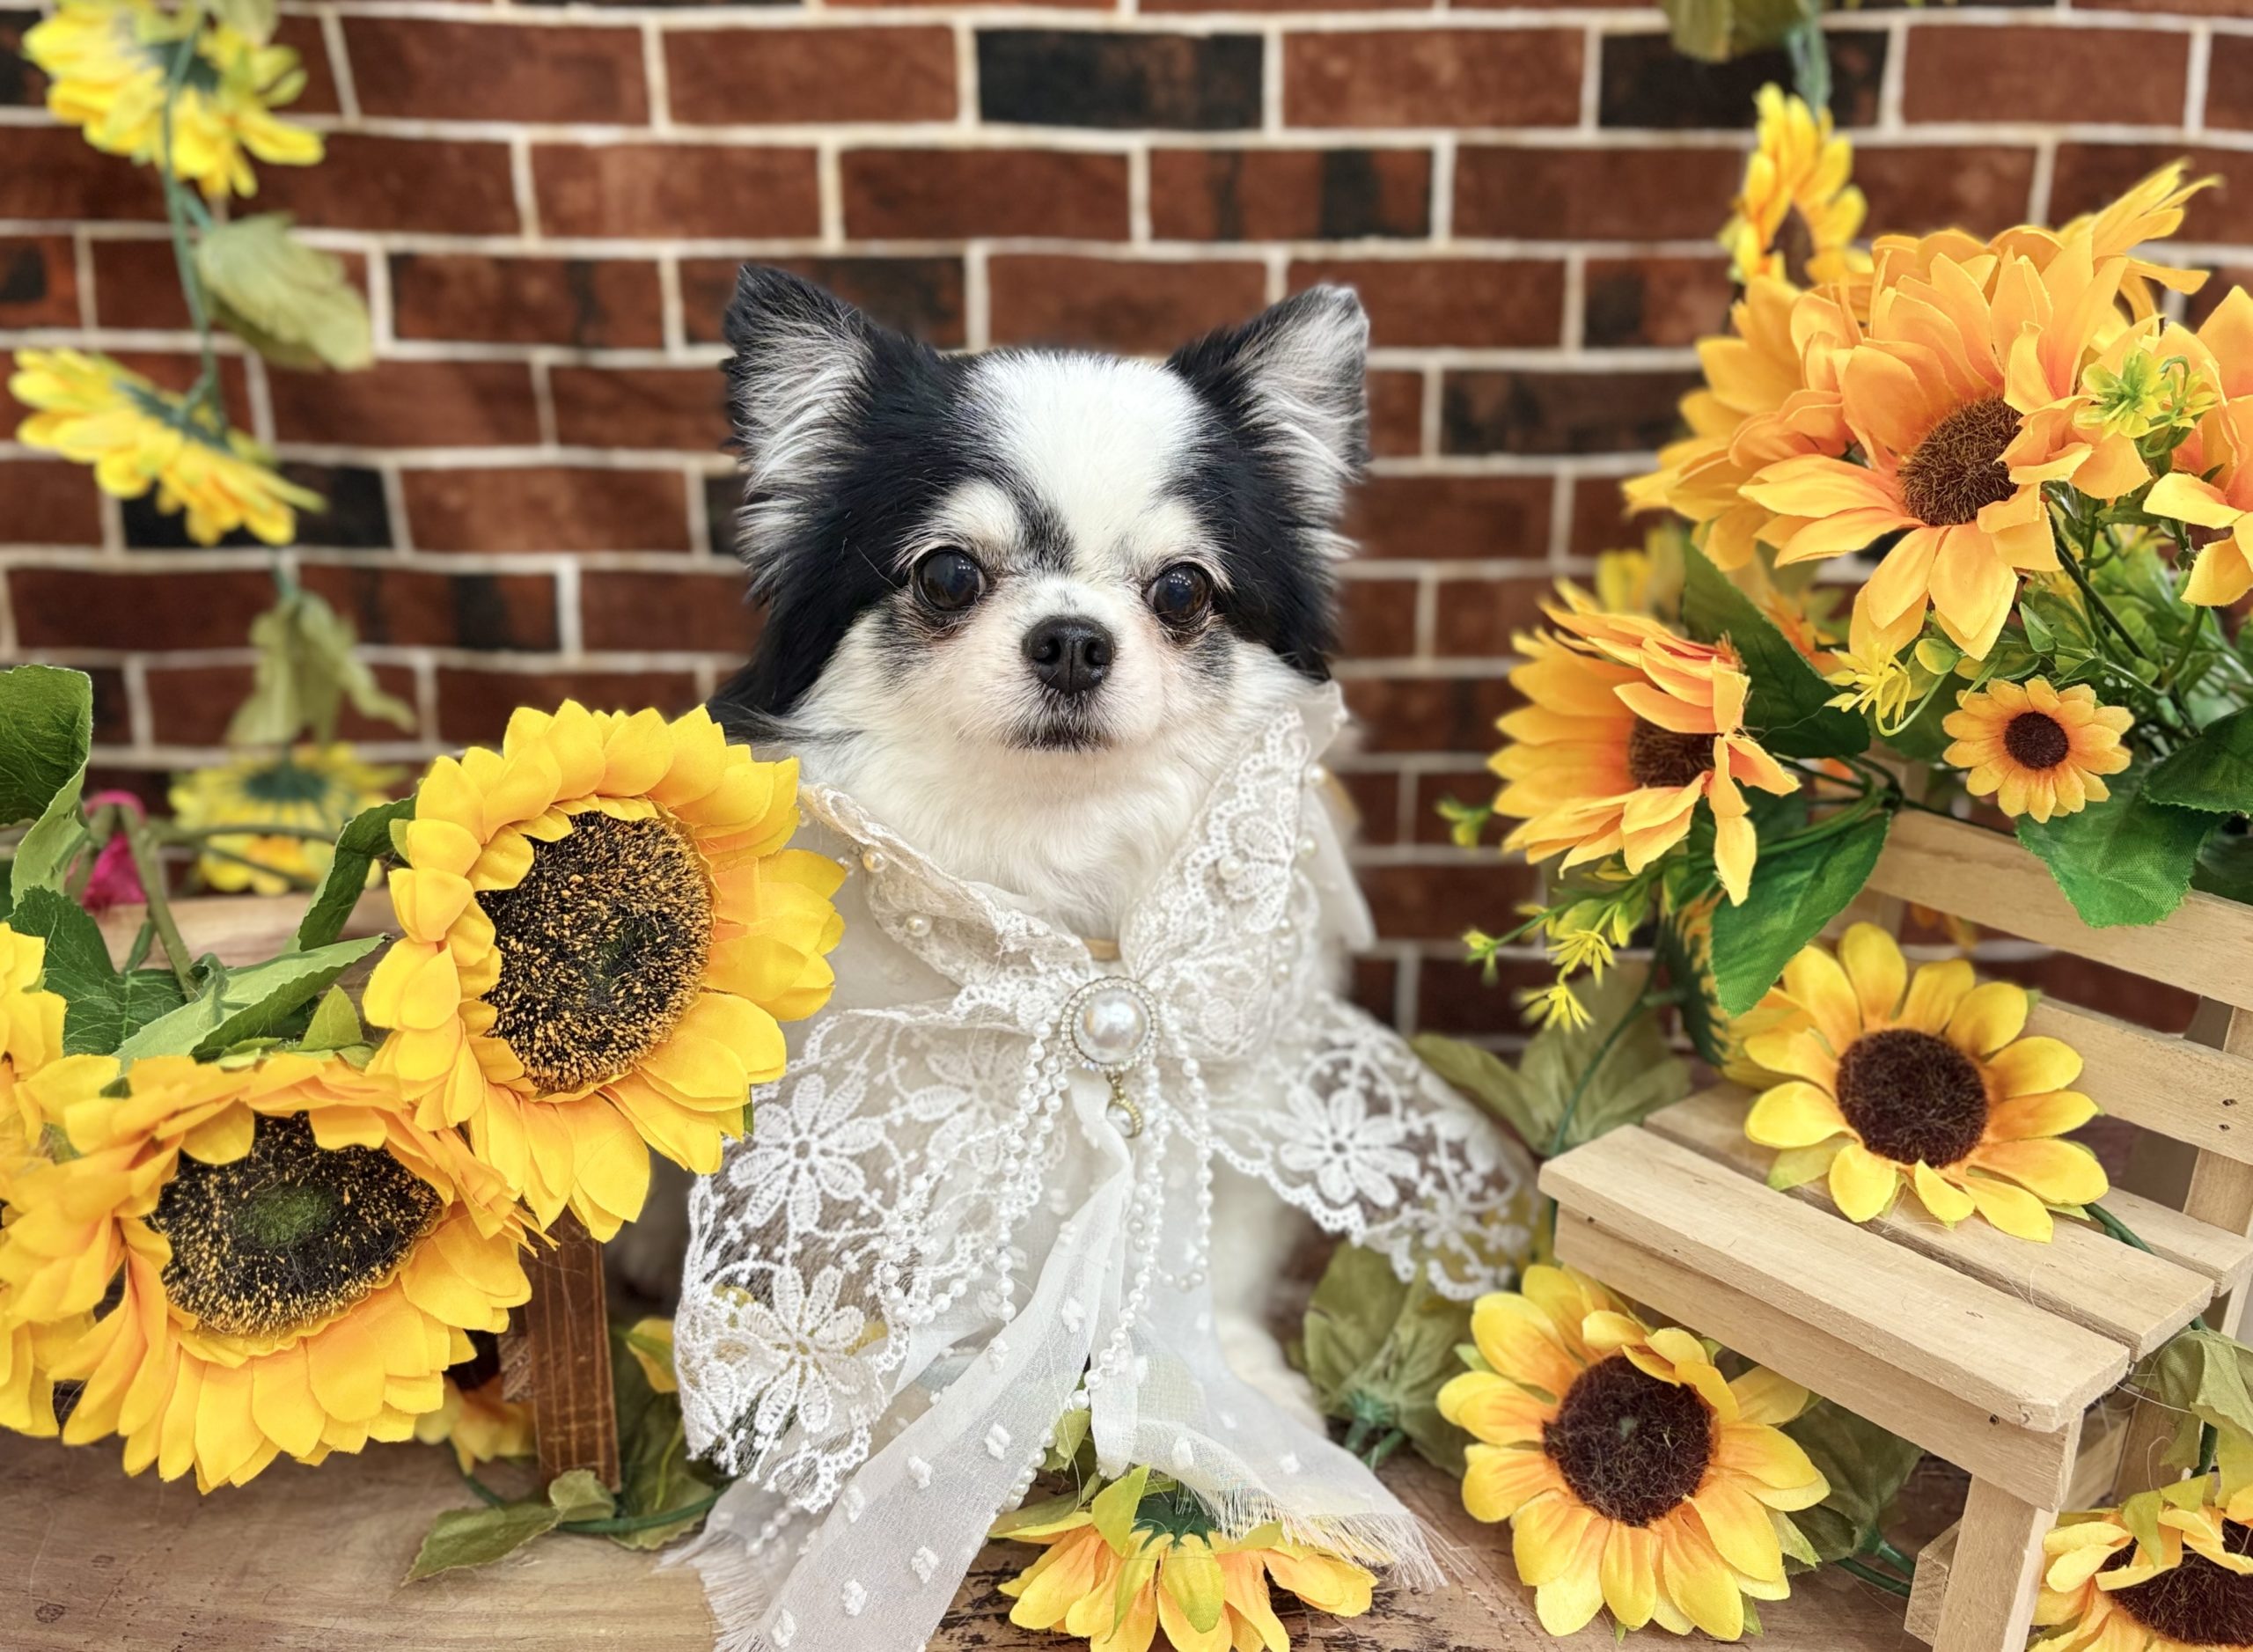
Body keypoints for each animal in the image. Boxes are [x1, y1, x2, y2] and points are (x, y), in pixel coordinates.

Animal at [620, 266, 1374, 1420]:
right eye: (947, 577)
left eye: (1182, 590)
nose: (1070, 638)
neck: (1050, 848)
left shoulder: (1242, 1089)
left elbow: (1212, 1247)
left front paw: (1231, 1374)